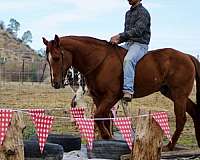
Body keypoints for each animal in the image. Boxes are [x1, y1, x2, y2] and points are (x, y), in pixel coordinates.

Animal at [43, 34, 200, 151]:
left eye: (56, 57)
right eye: (48, 59)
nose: (55, 83)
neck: (100, 62)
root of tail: (187, 56)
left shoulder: (112, 96)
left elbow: (98, 115)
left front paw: (107, 137)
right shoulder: (98, 98)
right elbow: (103, 118)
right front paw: (107, 137)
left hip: (179, 95)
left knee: (181, 119)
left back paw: (170, 146)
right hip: (171, 93)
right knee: (194, 111)